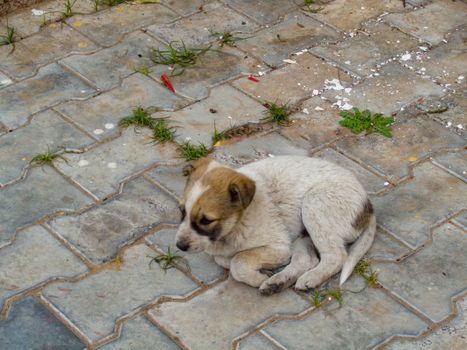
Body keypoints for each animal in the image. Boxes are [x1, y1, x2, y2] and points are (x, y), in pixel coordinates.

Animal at [176, 156, 376, 296]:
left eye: (206, 220)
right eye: (182, 211)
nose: (180, 246)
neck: (237, 224)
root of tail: (368, 204)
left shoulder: (279, 246)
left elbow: (237, 262)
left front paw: (257, 277)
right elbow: (225, 259)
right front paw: (263, 270)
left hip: (315, 206)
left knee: (336, 256)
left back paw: (311, 277)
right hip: (302, 234)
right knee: (307, 259)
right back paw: (279, 281)